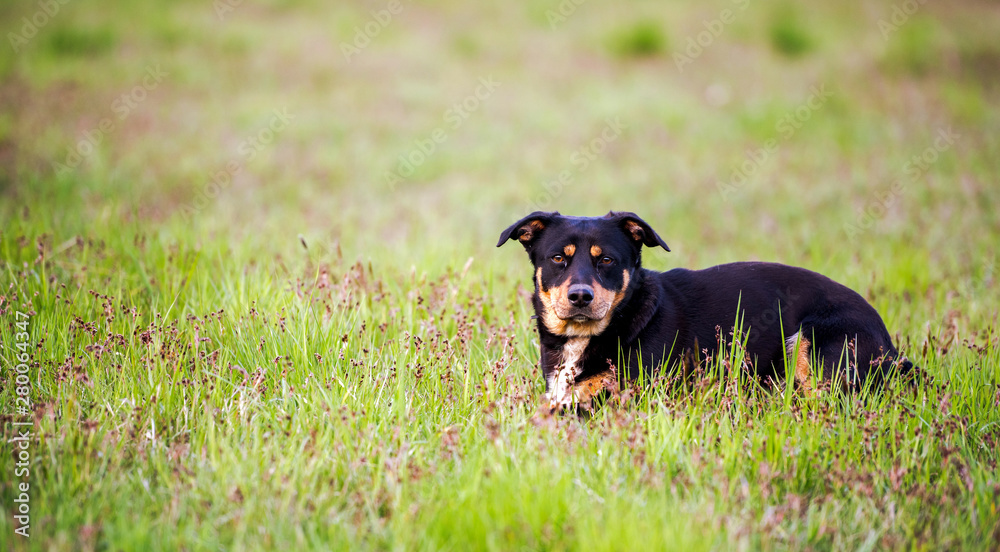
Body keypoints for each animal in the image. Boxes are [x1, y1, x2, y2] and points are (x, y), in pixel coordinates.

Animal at [500, 211, 916, 410]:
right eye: (558, 258)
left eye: (606, 261)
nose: (581, 296)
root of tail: (891, 349)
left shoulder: (630, 393)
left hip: (811, 341)